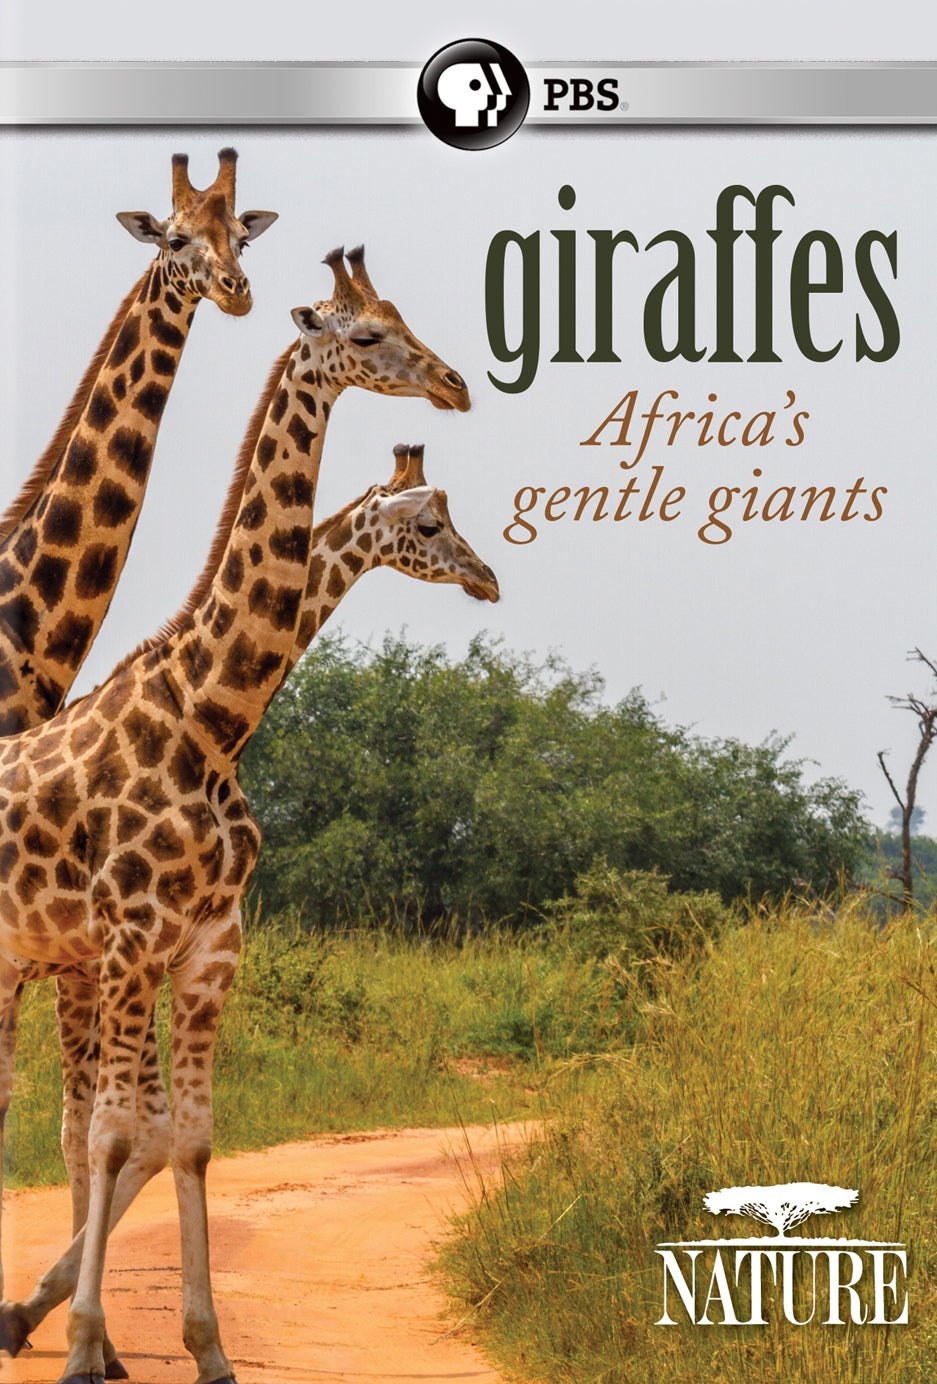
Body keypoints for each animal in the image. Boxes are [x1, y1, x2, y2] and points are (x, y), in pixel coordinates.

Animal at [0, 249, 472, 1384]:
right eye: (367, 333)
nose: (454, 385)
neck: (212, 716)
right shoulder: (119, 944)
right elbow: (111, 1132)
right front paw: (80, 1343)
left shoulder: (205, 944)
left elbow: (180, 1134)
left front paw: (196, 1345)